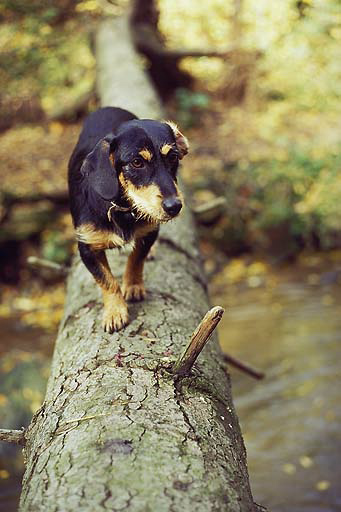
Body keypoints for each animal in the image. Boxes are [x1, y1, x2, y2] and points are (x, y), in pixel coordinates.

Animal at [67, 106, 187, 334]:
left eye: (173, 157)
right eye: (137, 162)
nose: (174, 207)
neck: (121, 208)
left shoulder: (149, 232)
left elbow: (136, 259)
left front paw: (133, 286)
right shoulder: (87, 248)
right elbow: (107, 280)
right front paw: (115, 313)